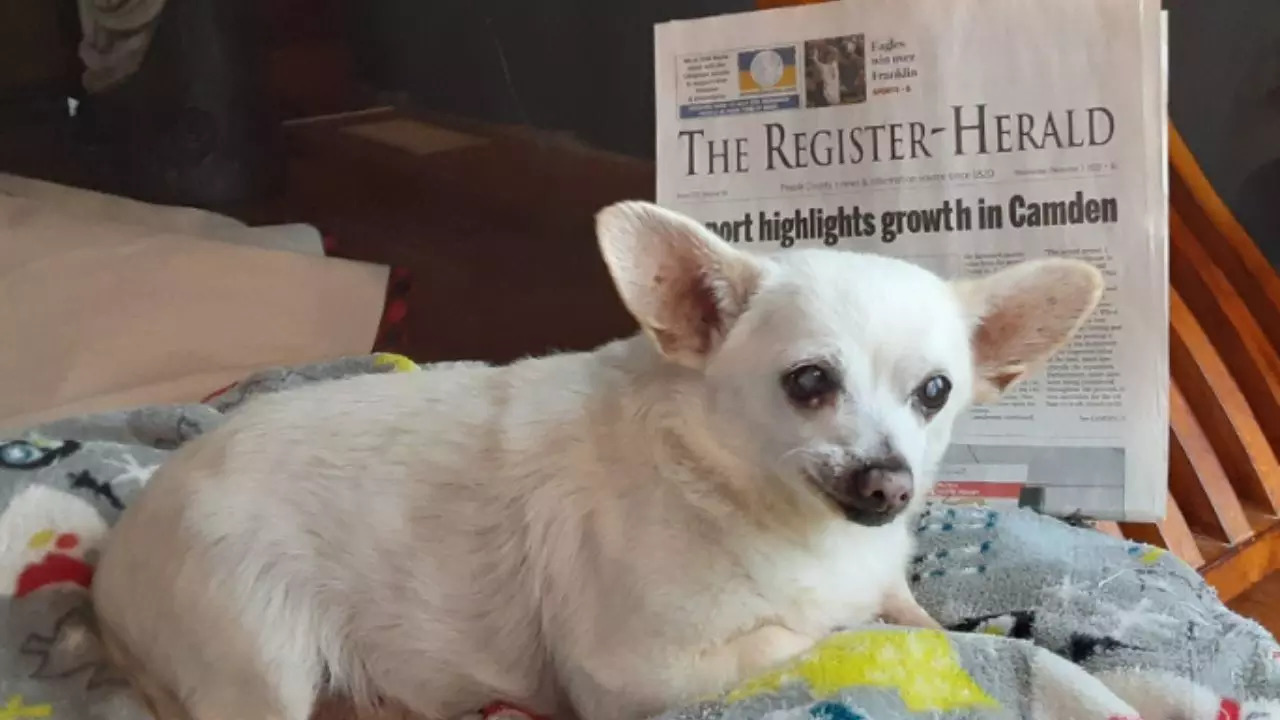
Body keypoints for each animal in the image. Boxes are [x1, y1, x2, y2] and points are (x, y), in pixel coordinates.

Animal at [94, 198, 1105, 717]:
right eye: (810, 381)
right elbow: (827, 636)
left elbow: (925, 620)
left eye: (935, 393)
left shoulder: (883, 579)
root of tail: (111, 569)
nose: (889, 483)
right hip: (260, 667)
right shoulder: (639, 675)